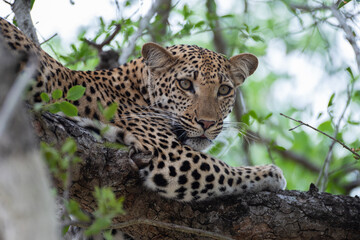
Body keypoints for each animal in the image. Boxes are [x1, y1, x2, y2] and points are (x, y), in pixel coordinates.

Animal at [0, 18, 286, 202]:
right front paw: (271, 173)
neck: (136, 89)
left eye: (224, 90)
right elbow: (222, 168)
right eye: (185, 84)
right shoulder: (171, 157)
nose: (206, 123)